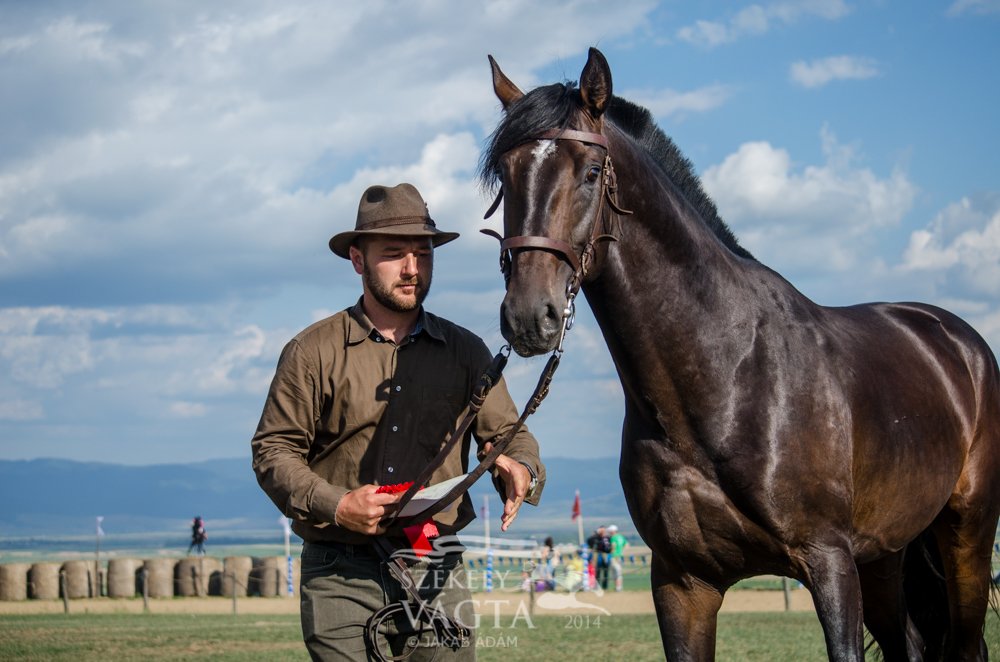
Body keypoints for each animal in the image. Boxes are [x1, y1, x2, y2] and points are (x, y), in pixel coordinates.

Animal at [478, 49, 1000, 660]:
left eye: (588, 172)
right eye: (506, 175)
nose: (528, 316)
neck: (726, 379)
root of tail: (954, 338)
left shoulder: (830, 563)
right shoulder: (683, 583)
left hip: (966, 534)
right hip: (885, 556)